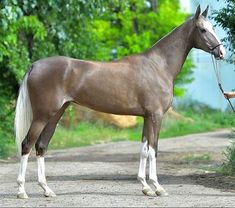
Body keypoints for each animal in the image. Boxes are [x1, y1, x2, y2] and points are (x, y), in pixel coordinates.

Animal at [15, 5, 226, 199]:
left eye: (213, 27)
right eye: (203, 29)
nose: (221, 52)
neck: (158, 66)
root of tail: (35, 65)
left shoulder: (146, 117)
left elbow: (143, 149)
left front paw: (145, 187)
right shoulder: (155, 116)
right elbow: (153, 150)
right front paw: (158, 187)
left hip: (55, 114)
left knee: (41, 146)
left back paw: (47, 190)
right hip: (42, 115)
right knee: (26, 144)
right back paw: (21, 191)